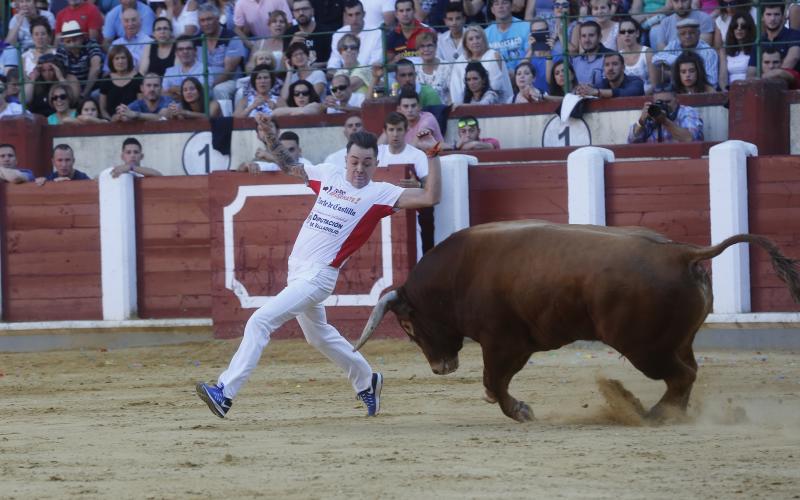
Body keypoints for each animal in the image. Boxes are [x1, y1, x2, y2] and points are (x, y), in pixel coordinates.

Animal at [354, 221, 800, 420]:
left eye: (408, 326)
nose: (440, 367)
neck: (457, 274)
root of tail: (682, 253)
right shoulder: (518, 344)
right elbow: (495, 383)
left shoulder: (503, 342)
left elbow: (493, 382)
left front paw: (521, 411)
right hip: (676, 341)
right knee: (688, 372)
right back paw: (668, 413)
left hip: (645, 348)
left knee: (681, 376)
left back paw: (652, 413)